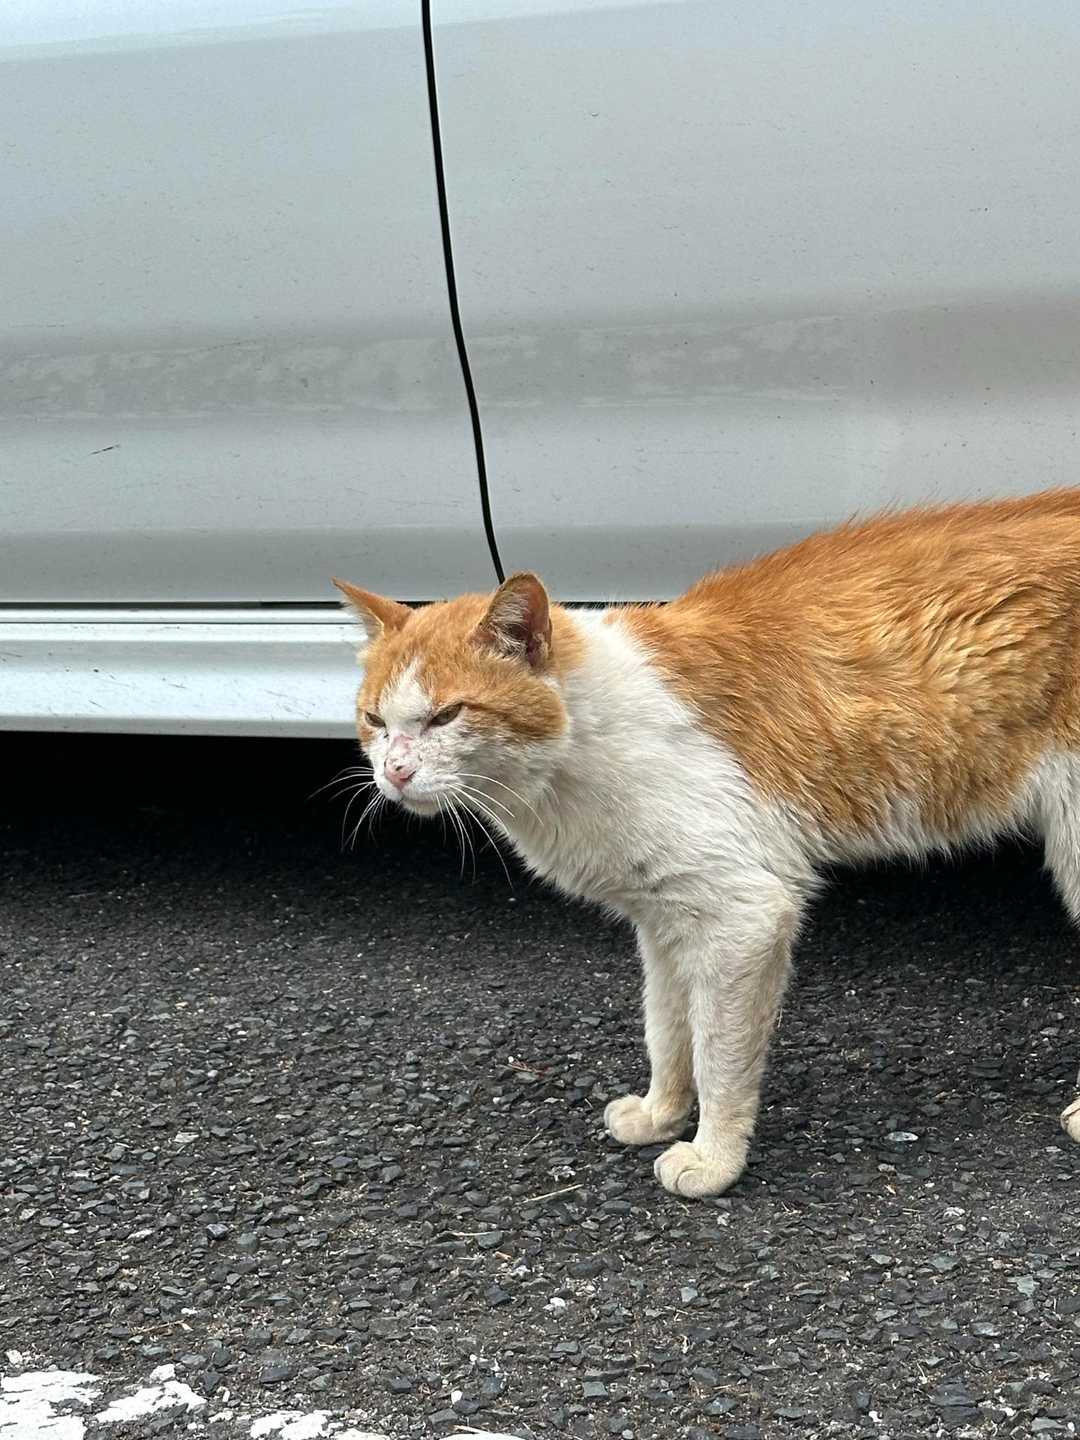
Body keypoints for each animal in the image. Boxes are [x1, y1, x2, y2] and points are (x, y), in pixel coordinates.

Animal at [335, 487, 1080, 1198]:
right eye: (374, 719)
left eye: (446, 715)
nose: (394, 772)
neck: (587, 740)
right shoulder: (663, 919)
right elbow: (668, 1030)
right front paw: (662, 1113)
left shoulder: (744, 913)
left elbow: (719, 1053)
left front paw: (714, 1158)